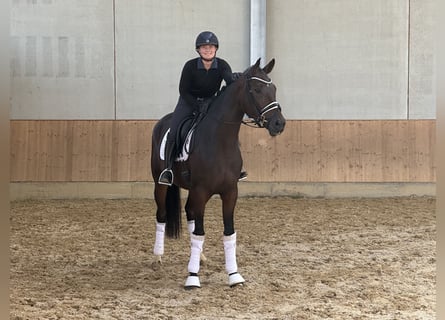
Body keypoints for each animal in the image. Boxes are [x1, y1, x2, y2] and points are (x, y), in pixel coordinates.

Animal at [151, 58, 286, 290]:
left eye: (274, 88)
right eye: (257, 89)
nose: (279, 123)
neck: (219, 139)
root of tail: (162, 122)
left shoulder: (230, 192)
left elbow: (229, 233)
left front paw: (234, 275)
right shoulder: (201, 191)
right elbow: (199, 233)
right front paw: (192, 277)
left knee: (189, 212)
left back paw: (201, 257)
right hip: (160, 185)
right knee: (162, 215)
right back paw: (158, 257)